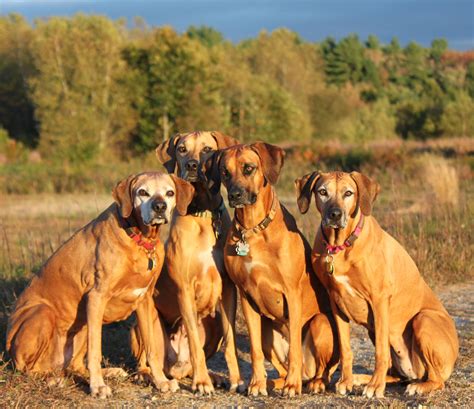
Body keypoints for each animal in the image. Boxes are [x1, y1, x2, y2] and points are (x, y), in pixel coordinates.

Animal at [5, 171, 194, 396]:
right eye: (142, 192)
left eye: (169, 192)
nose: (159, 207)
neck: (139, 238)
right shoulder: (97, 297)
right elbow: (95, 351)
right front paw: (97, 386)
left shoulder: (145, 301)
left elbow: (152, 350)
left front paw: (161, 381)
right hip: (44, 314)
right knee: (27, 369)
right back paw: (54, 380)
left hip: (81, 326)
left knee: (74, 365)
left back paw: (108, 372)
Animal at [131, 131, 243, 392]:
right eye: (182, 149)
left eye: (207, 149)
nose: (192, 165)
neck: (202, 213)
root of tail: (175, 368)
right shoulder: (184, 289)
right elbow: (193, 341)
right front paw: (201, 383)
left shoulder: (229, 289)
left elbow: (231, 341)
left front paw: (236, 379)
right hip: (141, 327)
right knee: (147, 357)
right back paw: (146, 374)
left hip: (213, 323)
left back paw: (214, 376)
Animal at [217, 143, 338, 396]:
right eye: (224, 171)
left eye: (249, 168)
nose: (234, 195)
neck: (253, 229)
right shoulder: (246, 295)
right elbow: (254, 350)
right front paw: (256, 384)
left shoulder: (291, 293)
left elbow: (295, 349)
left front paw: (292, 386)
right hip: (266, 331)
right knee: (279, 364)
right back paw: (275, 381)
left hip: (320, 323)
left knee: (322, 369)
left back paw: (312, 382)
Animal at [296, 169, 460, 396]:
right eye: (322, 192)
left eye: (348, 193)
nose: (335, 215)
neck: (341, 246)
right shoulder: (336, 302)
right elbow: (346, 348)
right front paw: (347, 381)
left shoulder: (379, 300)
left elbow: (381, 352)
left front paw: (375, 387)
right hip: (375, 332)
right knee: (397, 373)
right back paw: (361, 378)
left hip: (423, 319)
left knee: (436, 378)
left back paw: (416, 385)